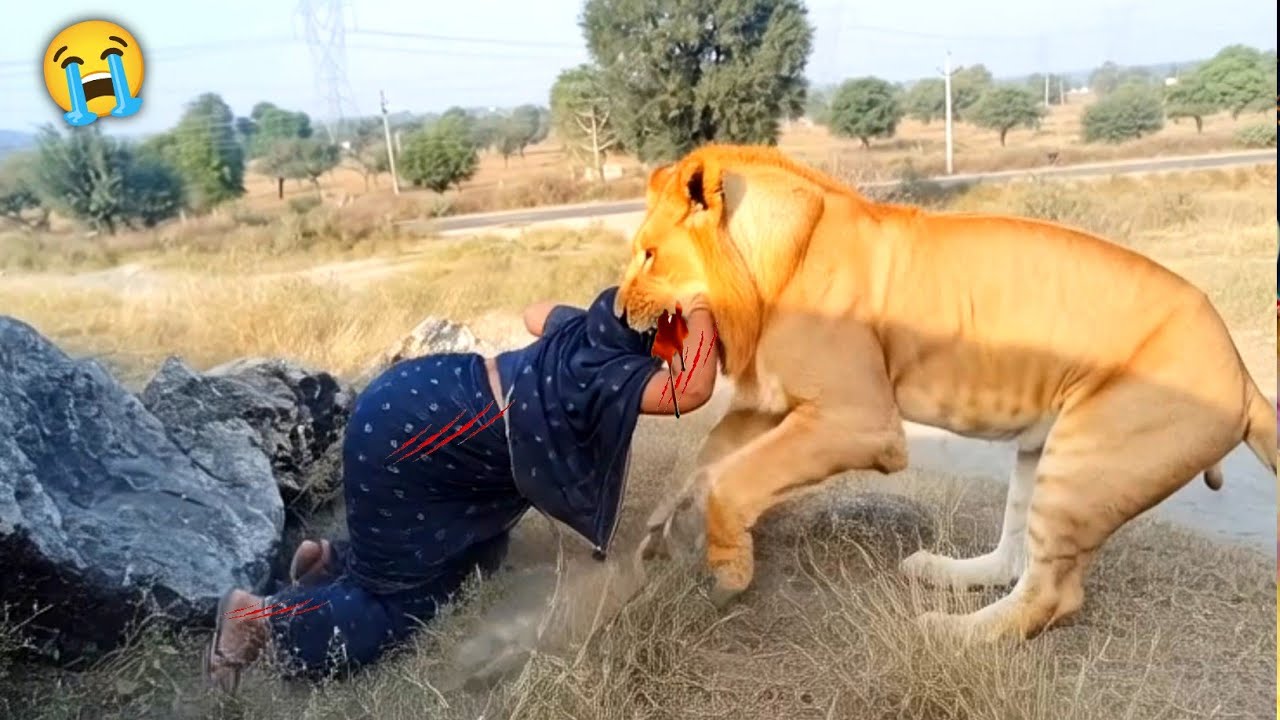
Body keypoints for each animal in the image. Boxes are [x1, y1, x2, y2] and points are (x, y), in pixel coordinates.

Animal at [615, 144, 1277, 642]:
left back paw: (950, 632)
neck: (768, 267)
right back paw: (938, 572)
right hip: (1045, 452)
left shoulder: (859, 419)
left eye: (649, 255)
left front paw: (728, 573)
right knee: (1016, 556)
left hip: (1087, 461)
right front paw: (656, 531)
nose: (618, 313)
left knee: (1054, 593)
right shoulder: (773, 401)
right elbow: (702, 458)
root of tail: (1246, 380)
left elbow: (733, 481)